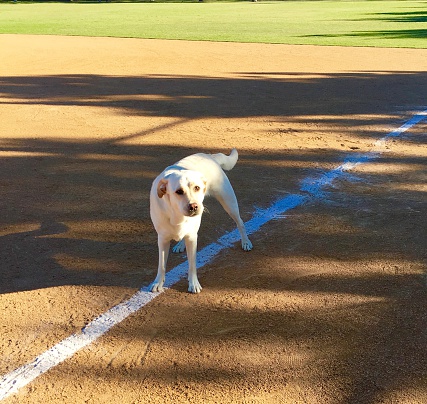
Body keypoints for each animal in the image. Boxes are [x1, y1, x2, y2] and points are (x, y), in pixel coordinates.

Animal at [150, 149, 252, 294]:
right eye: (178, 191)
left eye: (197, 188)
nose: (194, 206)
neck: (177, 215)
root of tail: (209, 156)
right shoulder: (163, 239)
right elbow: (162, 265)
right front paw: (158, 282)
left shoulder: (193, 238)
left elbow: (192, 265)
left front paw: (193, 284)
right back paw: (181, 245)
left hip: (229, 203)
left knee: (240, 222)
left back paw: (246, 242)